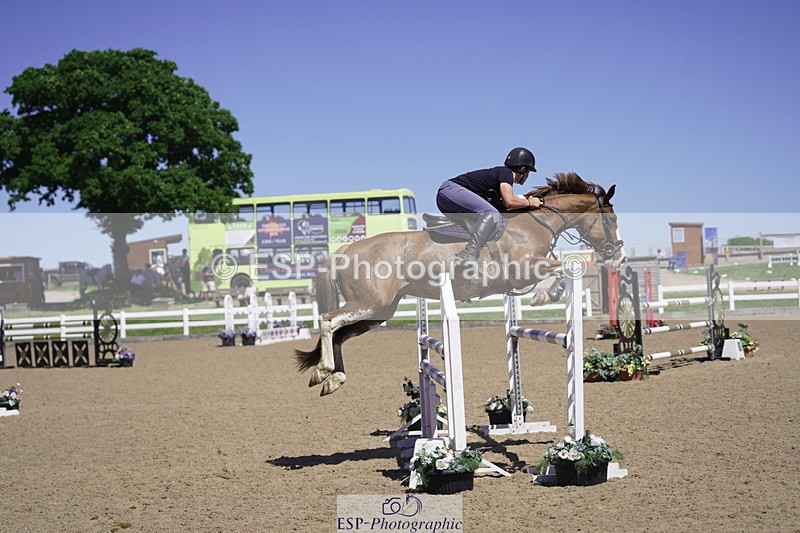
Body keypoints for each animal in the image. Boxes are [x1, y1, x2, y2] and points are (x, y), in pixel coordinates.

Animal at [295, 172, 626, 396]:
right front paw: (544, 296)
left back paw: (333, 380)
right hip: (368, 303)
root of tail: (345, 249)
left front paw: (547, 295)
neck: (535, 223)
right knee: (327, 321)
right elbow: (567, 267)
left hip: (379, 311)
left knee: (340, 334)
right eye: (611, 220)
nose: (620, 256)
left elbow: (563, 269)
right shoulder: (525, 268)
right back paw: (323, 371)